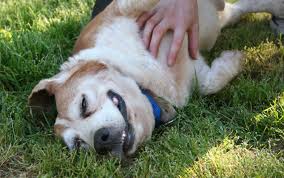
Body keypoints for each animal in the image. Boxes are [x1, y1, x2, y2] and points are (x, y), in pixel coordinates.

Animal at [28, 0, 284, 159]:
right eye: (80, 146)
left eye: (83, 105)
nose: (101, 141)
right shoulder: (196, 70)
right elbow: (210, 84)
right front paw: (233, 59)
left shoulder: (128, 8)